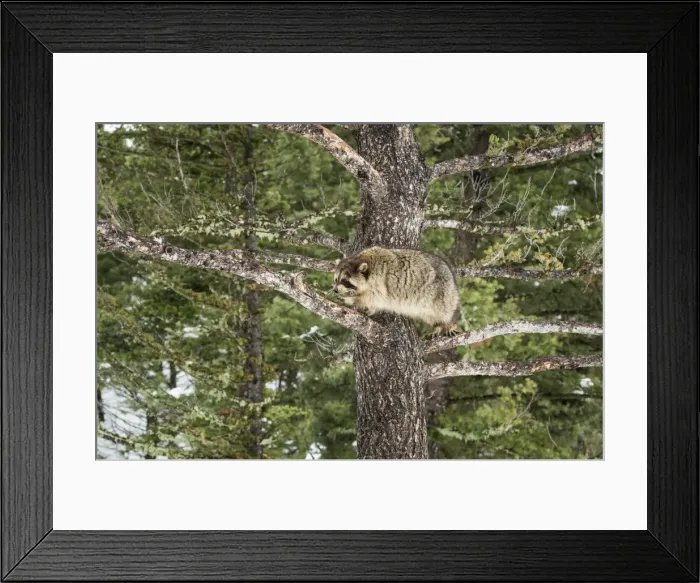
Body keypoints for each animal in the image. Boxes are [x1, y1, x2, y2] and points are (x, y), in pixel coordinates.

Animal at [332, 247, 461, 335]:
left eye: (344, 280)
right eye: (336, 279)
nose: (335, 290)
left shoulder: (380, 283)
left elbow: (372, 297)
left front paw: (351, 299)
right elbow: (374, 303)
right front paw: (368, 309)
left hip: (442, 292)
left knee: (445, 311)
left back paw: (449, 324)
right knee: (430, 316)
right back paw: (438, 326)